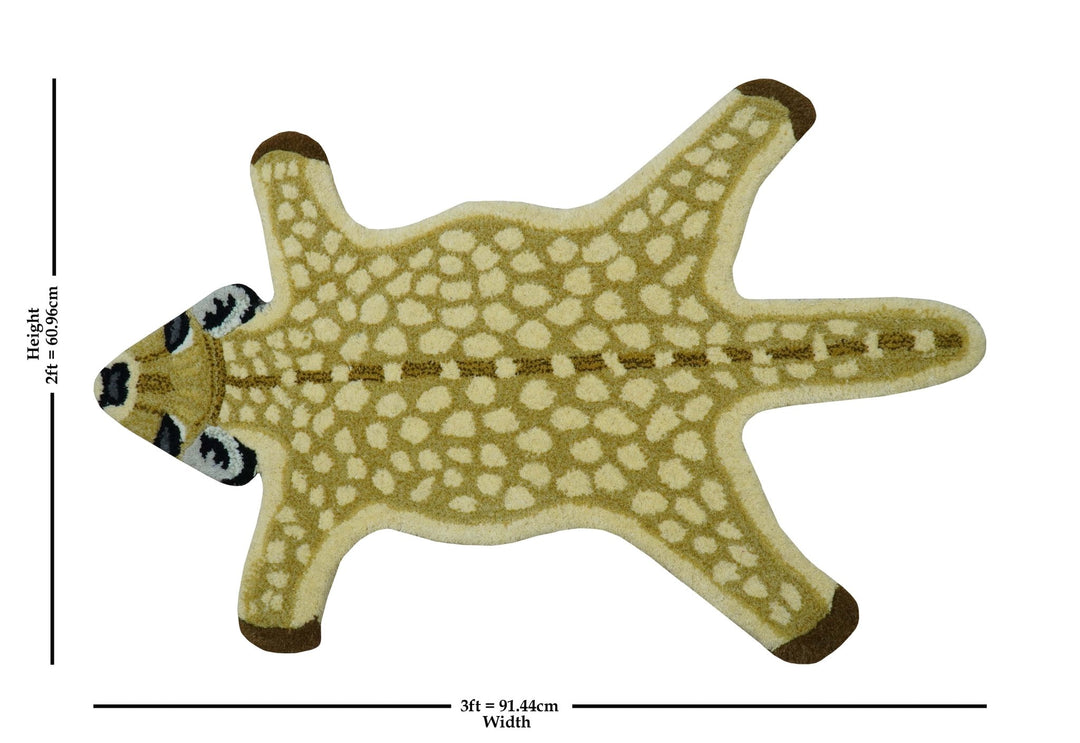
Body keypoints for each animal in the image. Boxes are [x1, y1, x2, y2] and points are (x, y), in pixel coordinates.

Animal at [95, 79, 984, 662]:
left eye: (182, 440)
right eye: (182, 321)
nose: (109, 380)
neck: (262, 371)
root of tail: (710, 338)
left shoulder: (306, 491)